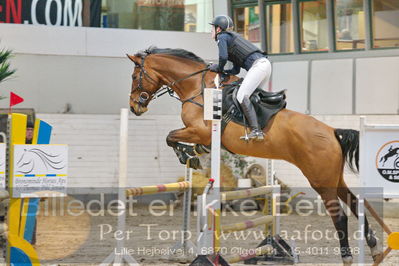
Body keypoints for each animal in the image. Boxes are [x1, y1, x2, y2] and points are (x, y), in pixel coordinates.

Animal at [128, 47, 384, 264]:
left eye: (134, 76)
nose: (134, 107)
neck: (196, 87)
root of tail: (332, 131)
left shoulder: (200, 130)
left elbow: (170, 137)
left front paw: (188, 155)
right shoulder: (199, 133)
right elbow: (176, 138)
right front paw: (193, 153)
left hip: (320, 180)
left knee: (339, 215)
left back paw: (348, 257)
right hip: (334, 177)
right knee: (354, 203)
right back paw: (375, 248)